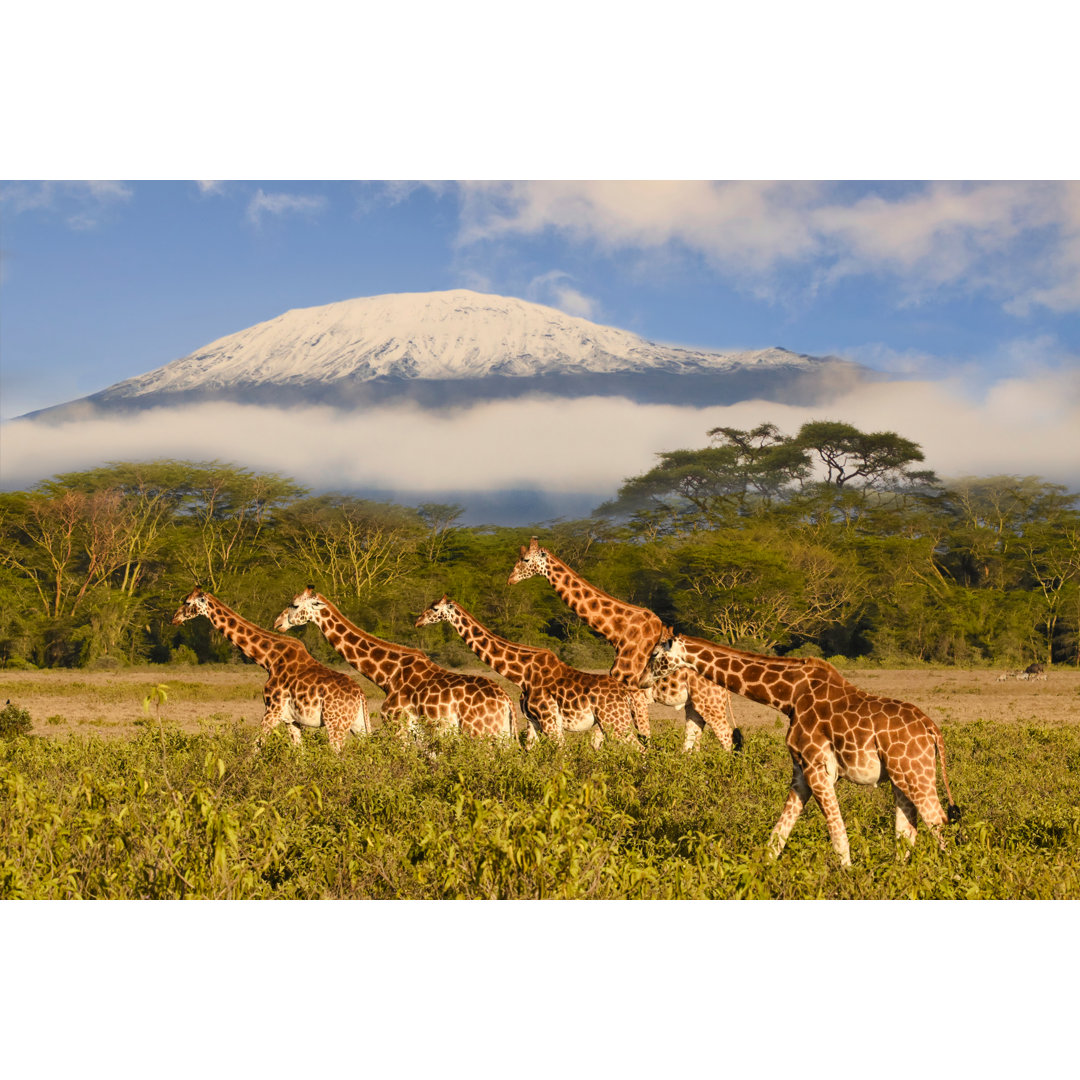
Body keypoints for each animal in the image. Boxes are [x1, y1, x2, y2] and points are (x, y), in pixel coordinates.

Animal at [170, 586, 369, 752]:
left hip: (335, 724)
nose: (174, 618)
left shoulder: (272, 710)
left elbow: (255, 747)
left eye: (187, 602)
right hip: (358, 725)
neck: (269, 660)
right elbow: (299, 753)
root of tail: (360, 695)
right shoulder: (291, 720)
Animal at [273, 587, 515, 739]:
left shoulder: (397, 725)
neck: (388, 674)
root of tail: (506, 702)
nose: (277, 624)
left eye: (294, 605)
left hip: (478, 733)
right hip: (501, 736)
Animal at [414, 595, 644, 753]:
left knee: (639, 749)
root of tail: (626, 694)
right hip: (611, 722)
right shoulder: (533, 722)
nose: (418, 621)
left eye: (434, 608)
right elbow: (530, 753)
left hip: (614, 721)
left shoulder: (550, 720)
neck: (522, 674)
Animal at [507, 537, 740, 751]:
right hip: (695, 704)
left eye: (526, 559)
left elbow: (639, 736)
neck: (618, 632)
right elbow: (600, 740)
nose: (510, 579)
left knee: (727, 738)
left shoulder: (634, 692)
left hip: (710, 702)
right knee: (695, 740)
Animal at [645, 634, 961, 867]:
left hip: (915, 772)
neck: (788, 697)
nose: (642, 680)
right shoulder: (800, 771)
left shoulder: (817, 767)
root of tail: (932, 729)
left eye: (656, 655)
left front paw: (848, 877)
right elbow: (778, 834)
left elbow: (837, 834)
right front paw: (759, 873)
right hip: (900, 776)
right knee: (907, 829)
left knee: (938, 820)